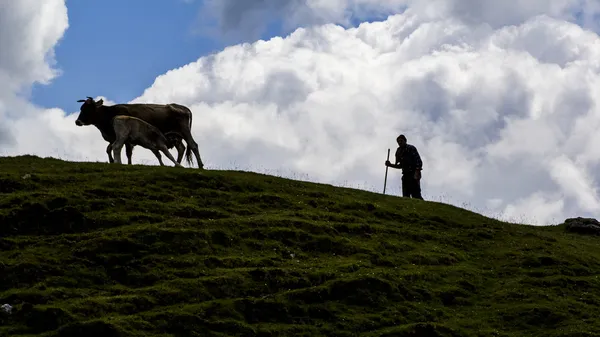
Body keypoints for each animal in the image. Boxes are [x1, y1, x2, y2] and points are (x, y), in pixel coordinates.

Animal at [72, 96, 204, 167]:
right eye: (81, 108)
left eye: (88, 109)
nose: (77, 121)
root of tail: (182, 107)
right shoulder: (115, 137)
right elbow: (109, 149)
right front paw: (112, 161)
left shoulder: (125, 138)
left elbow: (127, 152)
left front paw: (127, 164)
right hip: (177, 135)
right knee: (181, 148)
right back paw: (176, 164)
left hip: (185, 131)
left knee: (193, 145)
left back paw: (200, 166)